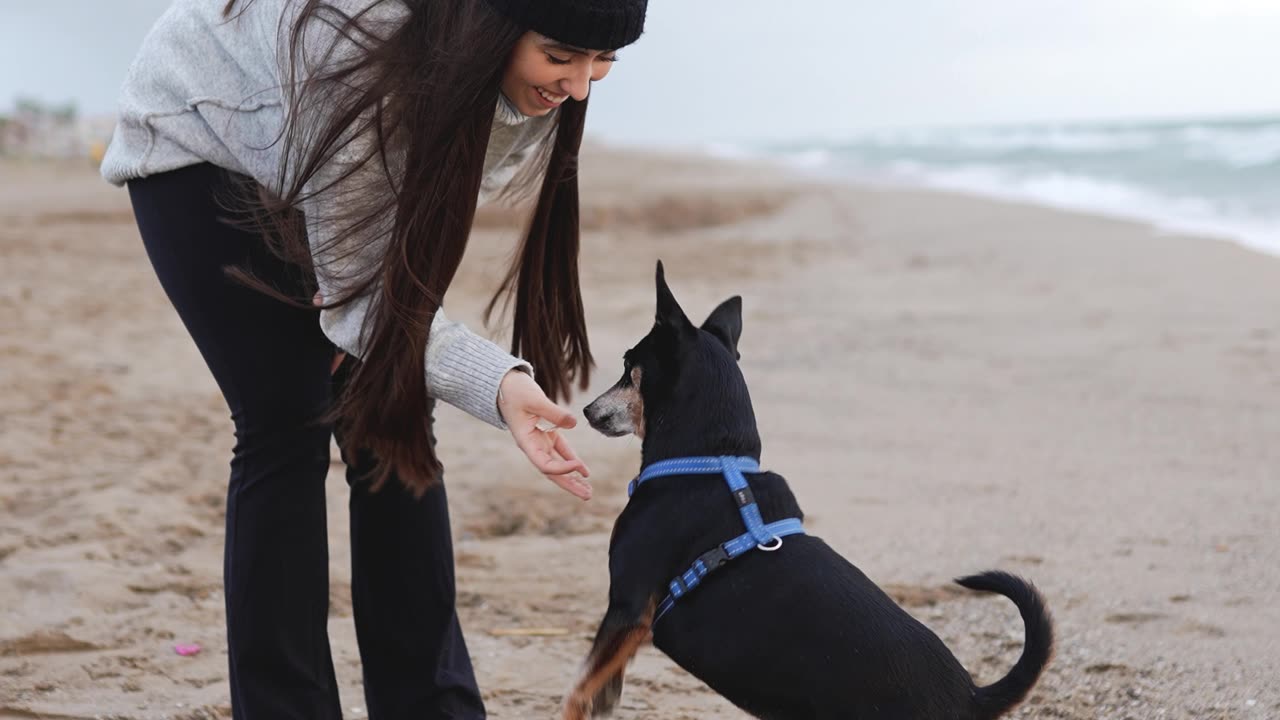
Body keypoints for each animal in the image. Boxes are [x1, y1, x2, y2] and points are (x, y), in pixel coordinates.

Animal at [565, 263, 1054, 717]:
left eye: (628, 367)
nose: (586, 410)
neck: (712, 458)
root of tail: (972, 696)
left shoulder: (628, 607)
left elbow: (577, 690)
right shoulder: (628, 626)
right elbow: (598, 686)